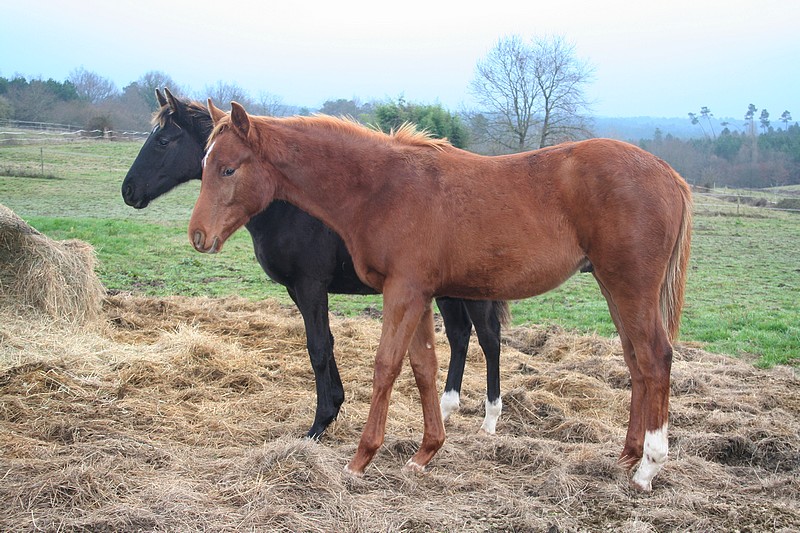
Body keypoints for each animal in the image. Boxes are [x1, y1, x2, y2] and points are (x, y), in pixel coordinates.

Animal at [120, 87, 506, 436]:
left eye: (163, 141)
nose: (128, 190)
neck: (289, 202)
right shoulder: (298, 289)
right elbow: (325, 342)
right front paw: (334, 406)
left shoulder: (310, 285)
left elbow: (318, 347)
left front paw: (320, 423)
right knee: (459, 335)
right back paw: (447, 408)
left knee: (488, 340)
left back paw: (489, 421)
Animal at [191, 100, 692, 490]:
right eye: (203, 164)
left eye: (229, 168)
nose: (198, 236)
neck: (381, 188)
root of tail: (670, 174)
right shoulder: (422, 293)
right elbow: (425, 367)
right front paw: (425, 452)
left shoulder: (403, 291)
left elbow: (386, 366)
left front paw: (360, 459)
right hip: (613, 287)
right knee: (635, 362)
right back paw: (626, 456)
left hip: (630, 287)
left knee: (655, 359)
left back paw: (648, 468)